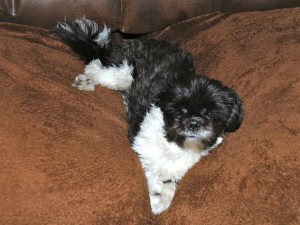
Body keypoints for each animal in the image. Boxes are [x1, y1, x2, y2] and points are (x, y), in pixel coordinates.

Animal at [51, 18, 244, 214]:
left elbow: (169, 190)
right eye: (178, 111)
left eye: (211, 113)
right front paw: (154, 196)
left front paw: (159, 200)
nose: (194, 123)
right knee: (95, 67)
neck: (176, 148)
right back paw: (87, 82)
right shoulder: (144, 151)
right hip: (124, 72)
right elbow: (153, 178)